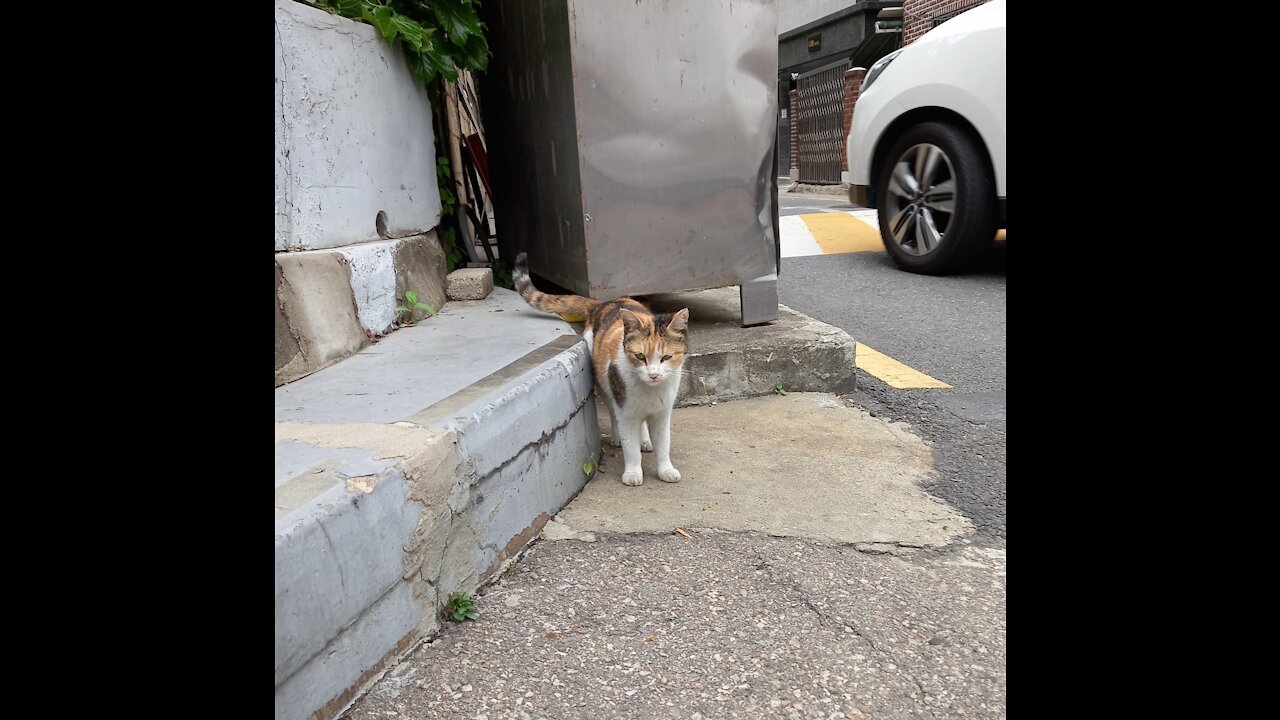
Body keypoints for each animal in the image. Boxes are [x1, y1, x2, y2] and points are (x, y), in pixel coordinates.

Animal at [512, 253, 691, 486]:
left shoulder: (662, 415)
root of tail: (601, 303)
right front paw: (633, 473)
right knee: (615, 415)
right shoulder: (625, 410)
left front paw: (666, 469)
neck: (650, 392)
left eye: (666, 357)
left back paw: (645, 440)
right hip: (606, 385)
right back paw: (619, 438)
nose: (653, 374)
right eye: (640, 356)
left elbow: (663, 444)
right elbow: (630, 446)